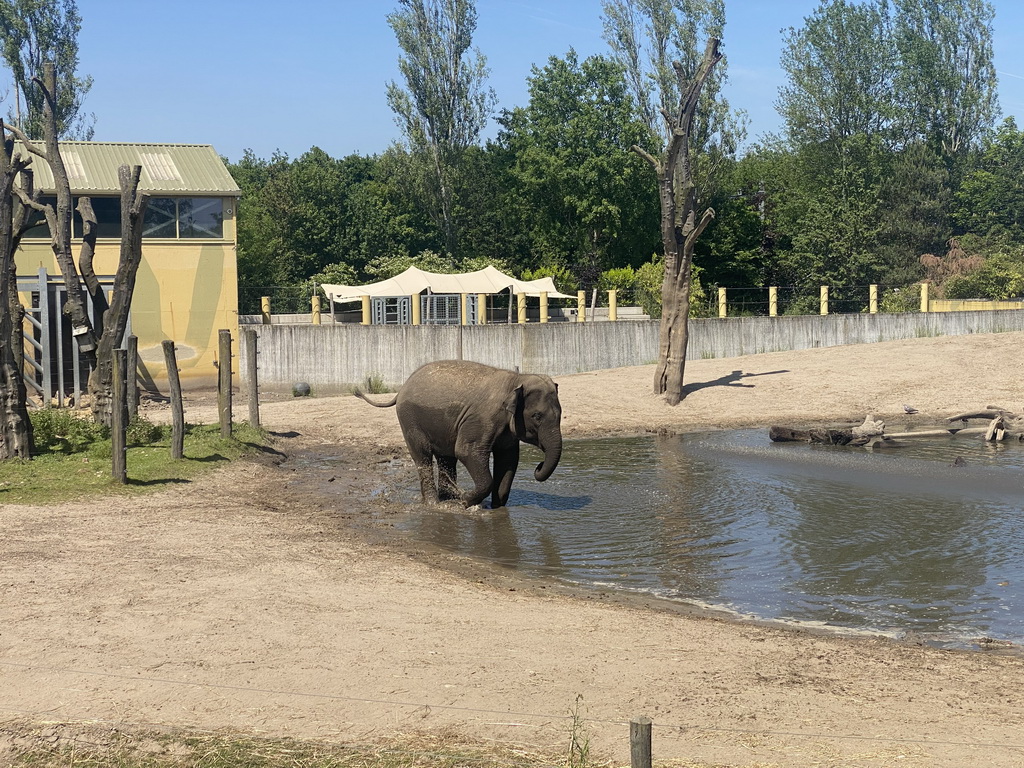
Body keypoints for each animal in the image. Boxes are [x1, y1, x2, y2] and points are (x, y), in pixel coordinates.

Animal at [356, 362, 565, 512]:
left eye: (561, 414)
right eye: (537, 416)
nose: (538, 466)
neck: (516, 380)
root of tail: (402, 387)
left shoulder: (507, 430)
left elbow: (508, 459)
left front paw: (495, 508)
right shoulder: (482, 419)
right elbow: (466, 452)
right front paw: (464, 501)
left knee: (446, 458)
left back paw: (448, 499)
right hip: (409, 419)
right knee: (423, 456)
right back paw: (436, 504)